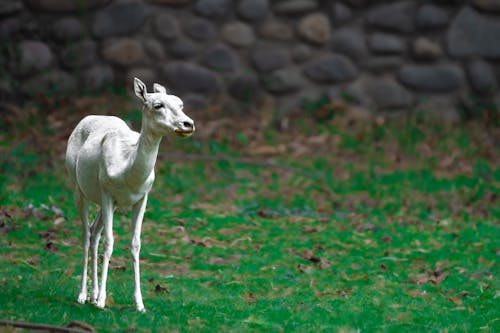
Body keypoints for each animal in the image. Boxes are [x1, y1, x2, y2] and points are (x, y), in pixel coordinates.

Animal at [64, 78, 193, 312]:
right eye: (158, 105)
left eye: (180, 104)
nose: (188, 124)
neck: (128, 171)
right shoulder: (107, 193)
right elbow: (109, 242)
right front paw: (102, 301)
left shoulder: (141, 199)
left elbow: (135, 244)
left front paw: (140, 303)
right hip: (78, 189)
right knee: (86, 234)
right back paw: (83, 295)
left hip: (107, 204)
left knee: (94, 232)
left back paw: (92, 295)